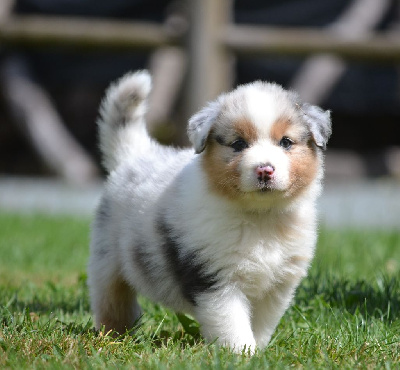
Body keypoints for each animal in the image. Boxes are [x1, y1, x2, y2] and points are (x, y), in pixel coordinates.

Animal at [87, 70, 332, 352]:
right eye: (238, 144)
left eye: (286, 142)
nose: (265, 170)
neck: (259, 217)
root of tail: (135, 155)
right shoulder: (215, 277)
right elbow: (232, 322)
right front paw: (241, 353)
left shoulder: (278, 285)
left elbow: (261, 323)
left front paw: (258, 351)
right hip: (107, 259)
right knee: (112, 298)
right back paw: (113, 335)